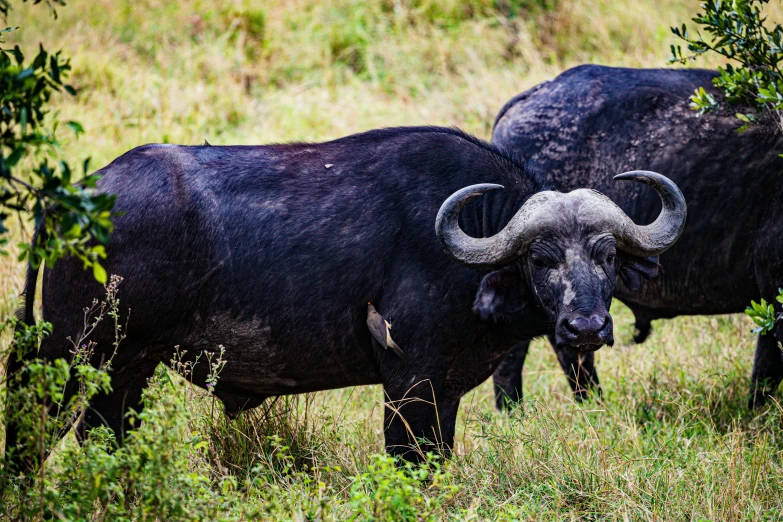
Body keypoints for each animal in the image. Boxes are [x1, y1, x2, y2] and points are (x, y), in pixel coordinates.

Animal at [4, 126, 688, 468]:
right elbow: (412, 463)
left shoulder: (443, 394)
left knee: (102, 437)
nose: (585, 329)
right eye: (541, 259)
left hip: (127, 368)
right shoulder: (408, 383)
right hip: (73, 355)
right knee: (32, 430)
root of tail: (74, 196)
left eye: (606, 255)